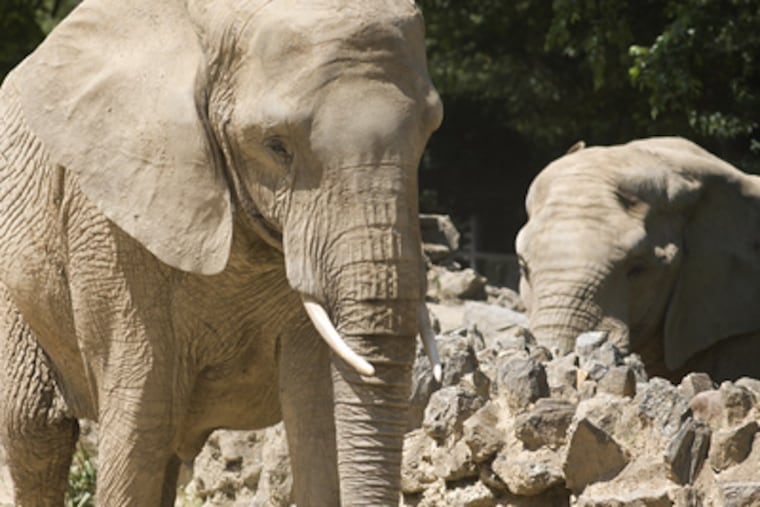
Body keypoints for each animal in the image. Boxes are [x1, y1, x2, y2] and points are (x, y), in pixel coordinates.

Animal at [0, 0, 444, 505]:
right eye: (276, 146)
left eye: (429, 132)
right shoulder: (108, 229)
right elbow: (142, 417)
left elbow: (316, 412)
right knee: (37, 431)